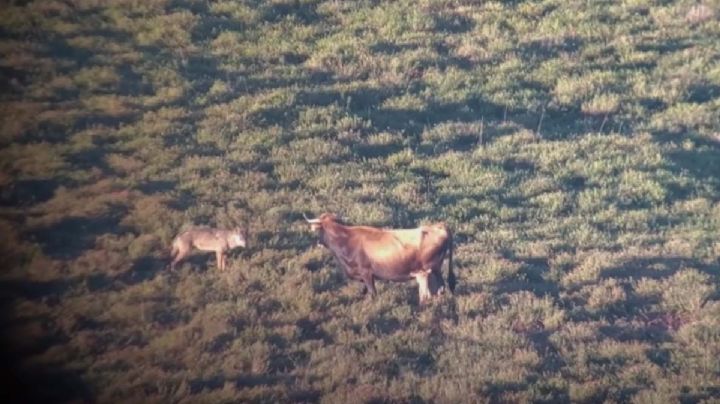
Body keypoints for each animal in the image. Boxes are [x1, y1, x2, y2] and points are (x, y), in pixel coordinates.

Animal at [304, 213, 455, 303]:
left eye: (319, 230)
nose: (318, 242)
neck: (347, 240)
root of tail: (439, 226)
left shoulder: (366, 273)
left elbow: (372, 293)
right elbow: (364, 291)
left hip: (424, 272)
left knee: (426, 295)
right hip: (436, 270)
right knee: (441, 288)